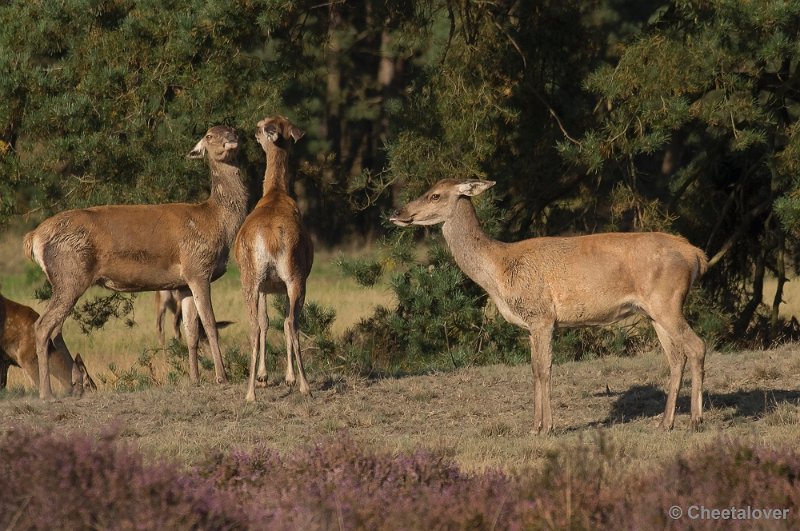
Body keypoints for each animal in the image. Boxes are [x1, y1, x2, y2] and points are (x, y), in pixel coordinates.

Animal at [23, 125, 248, 400]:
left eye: (232, 129)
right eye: (209, 136)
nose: (232, 139)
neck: (216, 222)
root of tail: (34, 237)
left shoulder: (183, 282)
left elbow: (191, 331)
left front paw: (194, 378)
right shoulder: (198, 268)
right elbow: (210, 324)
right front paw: (221, 377)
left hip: (66, 279)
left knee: (56, 329)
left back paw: (76, 385)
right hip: (70, 274)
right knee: (43, 326)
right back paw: (47, 393)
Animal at [234, 115, 312, 400]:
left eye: (260, 125)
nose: (251, 132)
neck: (275, 193)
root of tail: (269, 238)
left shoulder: (265, 286)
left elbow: (266, 322)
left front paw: (264, 377)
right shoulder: (272, 286)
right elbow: (271, 322)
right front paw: (279, 377)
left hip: (252, 277)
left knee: (258, 325)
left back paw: (250, 394)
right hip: (293, 276)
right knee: (290, 322)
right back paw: (303, 385)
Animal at [390, 178, 708, 432]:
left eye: (435, 195)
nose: (397, 213)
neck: (500, 271)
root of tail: (695, 254)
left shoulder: (542, 314)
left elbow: (544, 369)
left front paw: (547, 427)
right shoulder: (532, 323)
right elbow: (533, 370)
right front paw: (533, 427)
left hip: (667, 301)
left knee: (697, 346)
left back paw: (695, 420)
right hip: (653, 312)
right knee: (675, 358)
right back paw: (665, 423)